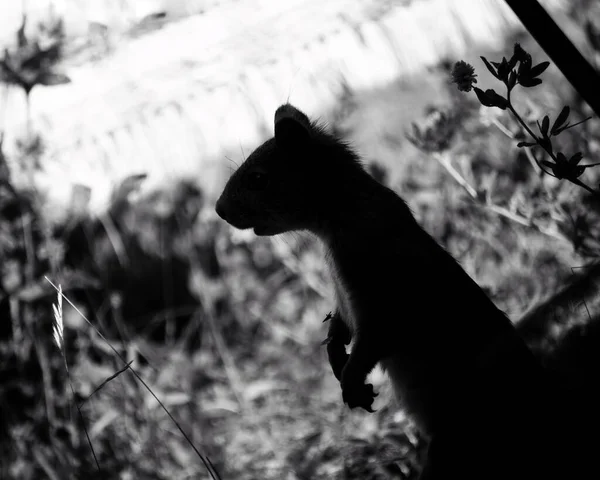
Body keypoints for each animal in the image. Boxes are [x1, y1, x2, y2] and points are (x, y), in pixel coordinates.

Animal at [216, 103, 596, 478]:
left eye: (258, 178)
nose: (219, 210)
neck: (340, 220)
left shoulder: (381, 299)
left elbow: (372, 341)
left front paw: (352, 381)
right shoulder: (346, 299)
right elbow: (339, 325)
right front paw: (335, 352)